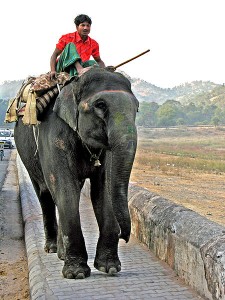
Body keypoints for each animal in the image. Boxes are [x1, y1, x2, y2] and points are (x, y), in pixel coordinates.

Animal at [14, 67, 139, 278]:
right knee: (45, 193)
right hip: (27, 157)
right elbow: (66, 189)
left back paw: (61, 254)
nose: (124, 235)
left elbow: (103, 189)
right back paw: (52, 249)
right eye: (100, 105)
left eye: (137, 108)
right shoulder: (55, 138)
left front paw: (109, 268)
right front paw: (76, 273)